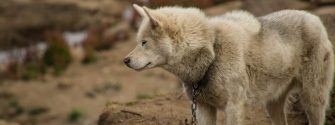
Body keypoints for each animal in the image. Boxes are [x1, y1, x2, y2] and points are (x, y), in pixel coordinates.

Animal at [124, 3, 334, 125]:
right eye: (138, 41)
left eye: (144, 43)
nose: (125, 60)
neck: (212, 51)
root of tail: (315, 18)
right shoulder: (203, 107)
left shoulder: (233, 106)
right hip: (273, 105)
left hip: (312, 99)